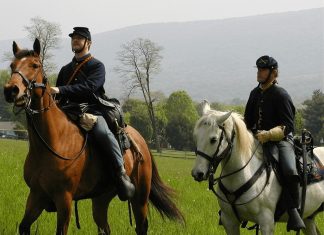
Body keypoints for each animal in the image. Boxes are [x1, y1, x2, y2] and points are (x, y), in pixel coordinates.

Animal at [3, 39, 184, 235]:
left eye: (35, 65)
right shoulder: (36, 195)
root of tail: (141, 140)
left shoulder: (64, 199)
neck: (51, 143)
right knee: (104, 227)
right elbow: (24, 226)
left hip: (140, 198)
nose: (11, 90)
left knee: (141, 226)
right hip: (101, 199)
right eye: (12, 65)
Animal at [191, 101, 322, 235]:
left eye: (213, 139)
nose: (197, 173)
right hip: (308, 218)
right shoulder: (230, 221)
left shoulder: (266, 222)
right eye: (196, 137)